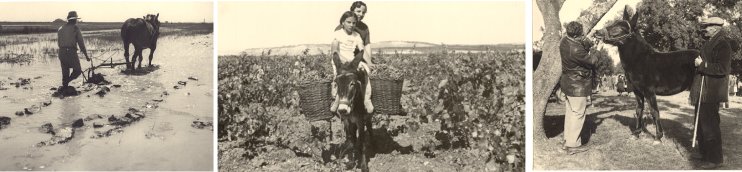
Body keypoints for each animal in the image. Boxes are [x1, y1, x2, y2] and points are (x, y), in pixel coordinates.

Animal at [600, 7, 704, 142]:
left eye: (620, 27)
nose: (598, 32)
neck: (640, 59)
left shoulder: (649, 91)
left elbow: (655, 112)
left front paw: (658, 137)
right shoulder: (637, 91)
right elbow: (639, 110)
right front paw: (636, 133)